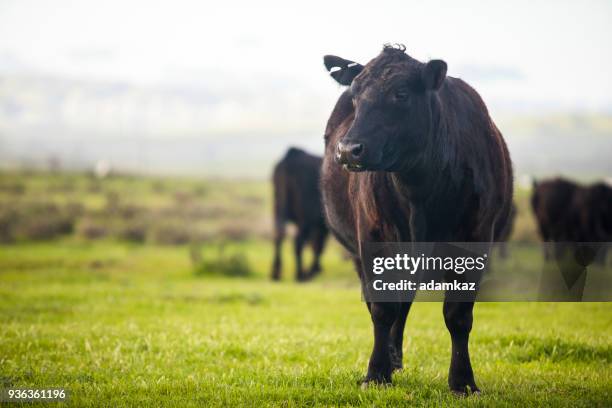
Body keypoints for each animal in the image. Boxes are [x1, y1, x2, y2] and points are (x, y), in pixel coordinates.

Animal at [272, 148, 330, 282]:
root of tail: (290, 157)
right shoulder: (322, 226)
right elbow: (319, 245)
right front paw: (314, 269)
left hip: (278, 208)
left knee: (278, 235)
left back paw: (275, 274)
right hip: (305, 219)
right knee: (298, 241)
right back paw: (301, 274)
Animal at [320, 45, 512, 396]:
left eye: (401, 94)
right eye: (355, 95)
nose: (349, 150)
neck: (420, 189)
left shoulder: (475, 239)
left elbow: (458, 314)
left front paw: (463, 381)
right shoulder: (375, 239)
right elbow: (382, 308)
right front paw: (376, 373)